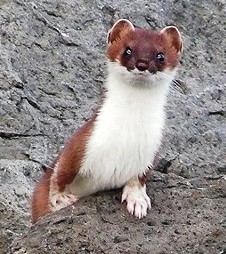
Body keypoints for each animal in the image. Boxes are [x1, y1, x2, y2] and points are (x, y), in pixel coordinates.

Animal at [31, 18, 183, 223]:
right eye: (128, 50)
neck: (129, 128)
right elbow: (61, 171)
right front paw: (59, 198)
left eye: (160, 55)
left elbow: (139, 178)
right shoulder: (85, 140)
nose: (142, 64)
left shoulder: (153, 149)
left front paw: (138, 200)